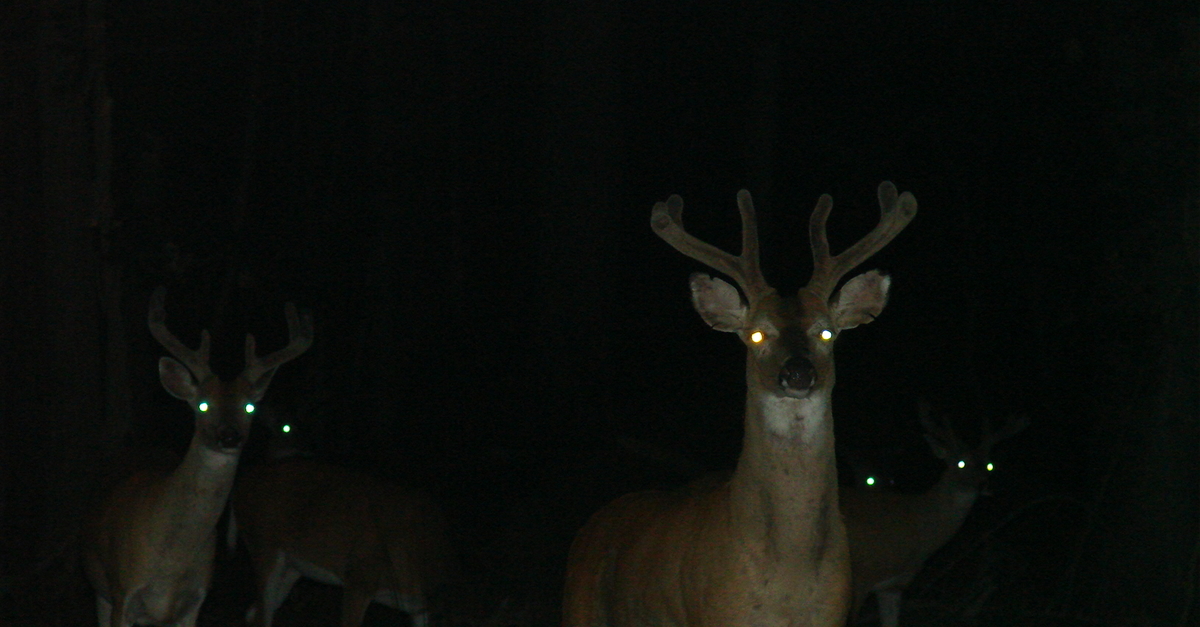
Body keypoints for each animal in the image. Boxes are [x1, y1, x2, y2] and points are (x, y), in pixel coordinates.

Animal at [83, 287, 313, 627]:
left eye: (249, 407)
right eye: (202, 404)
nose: (229, 436)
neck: (171, 563)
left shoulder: (197, 599)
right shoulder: (123, 591)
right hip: (100, 588)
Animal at [231, 413, 455, 627]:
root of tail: (242, 481)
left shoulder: (420, 608)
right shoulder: (358, 578)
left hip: (294, 565)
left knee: (253, 613)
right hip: (264, 544)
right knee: (261, 614)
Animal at [563, 181, 917, 627]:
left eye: (826, 333)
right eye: (757, 335)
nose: (797, 373)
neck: (791, 575)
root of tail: (591, 527)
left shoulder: (836, 612)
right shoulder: (719, 612)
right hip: (577, 608)